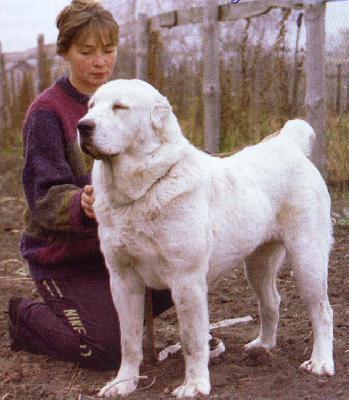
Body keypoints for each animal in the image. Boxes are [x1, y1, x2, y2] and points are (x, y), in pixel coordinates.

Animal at [77, 79, 334, 396]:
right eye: (90, 107)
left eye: (120, 107)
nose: (83, 126)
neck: (142, 192)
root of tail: (287, 144)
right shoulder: (123, 281)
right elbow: (129, 340)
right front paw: (123, 383)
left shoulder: (186, 280)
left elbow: (192, 339)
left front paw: (195, 385)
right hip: (258, 264)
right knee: (271, 301)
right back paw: (263, 346)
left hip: (308, 258)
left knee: (322, 310)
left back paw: (320, 363)